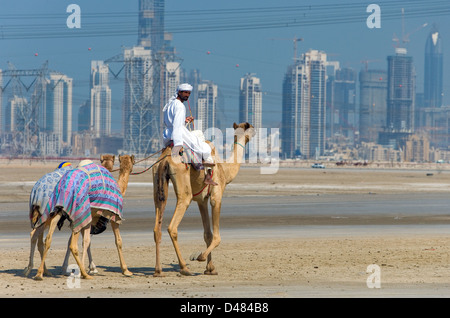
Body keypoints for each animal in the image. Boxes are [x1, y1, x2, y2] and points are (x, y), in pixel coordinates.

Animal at [153, 121, 255, 276]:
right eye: (251, 128)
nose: (255, 132)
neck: (225, 170)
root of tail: (165, 159)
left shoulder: (202, 201)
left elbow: (207, 234)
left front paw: (210, 268)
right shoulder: (216, 196)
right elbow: (216, 236)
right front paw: (200, 257)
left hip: (158, 181)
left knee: (156, 227)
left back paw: (158, 271)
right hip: (184, 189)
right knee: (172, 227)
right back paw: (184, 268)